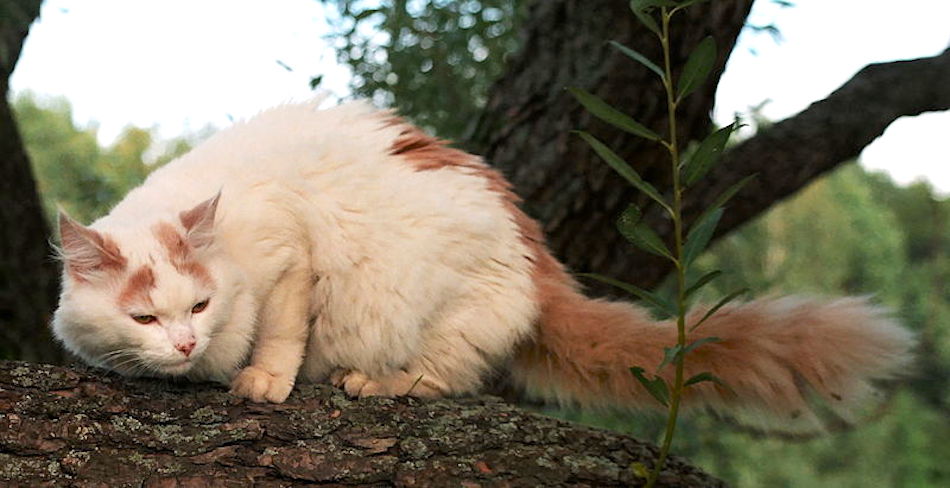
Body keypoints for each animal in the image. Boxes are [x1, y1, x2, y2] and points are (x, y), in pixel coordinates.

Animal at [50, 99, 916, 430]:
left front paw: (262, 380)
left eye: (198, 307)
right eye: (145, 316)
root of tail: (535, 253)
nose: (186, 343)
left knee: (444, 377)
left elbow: (283, 332)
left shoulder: (292, 256)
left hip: (437, 308)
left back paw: (372, 383)